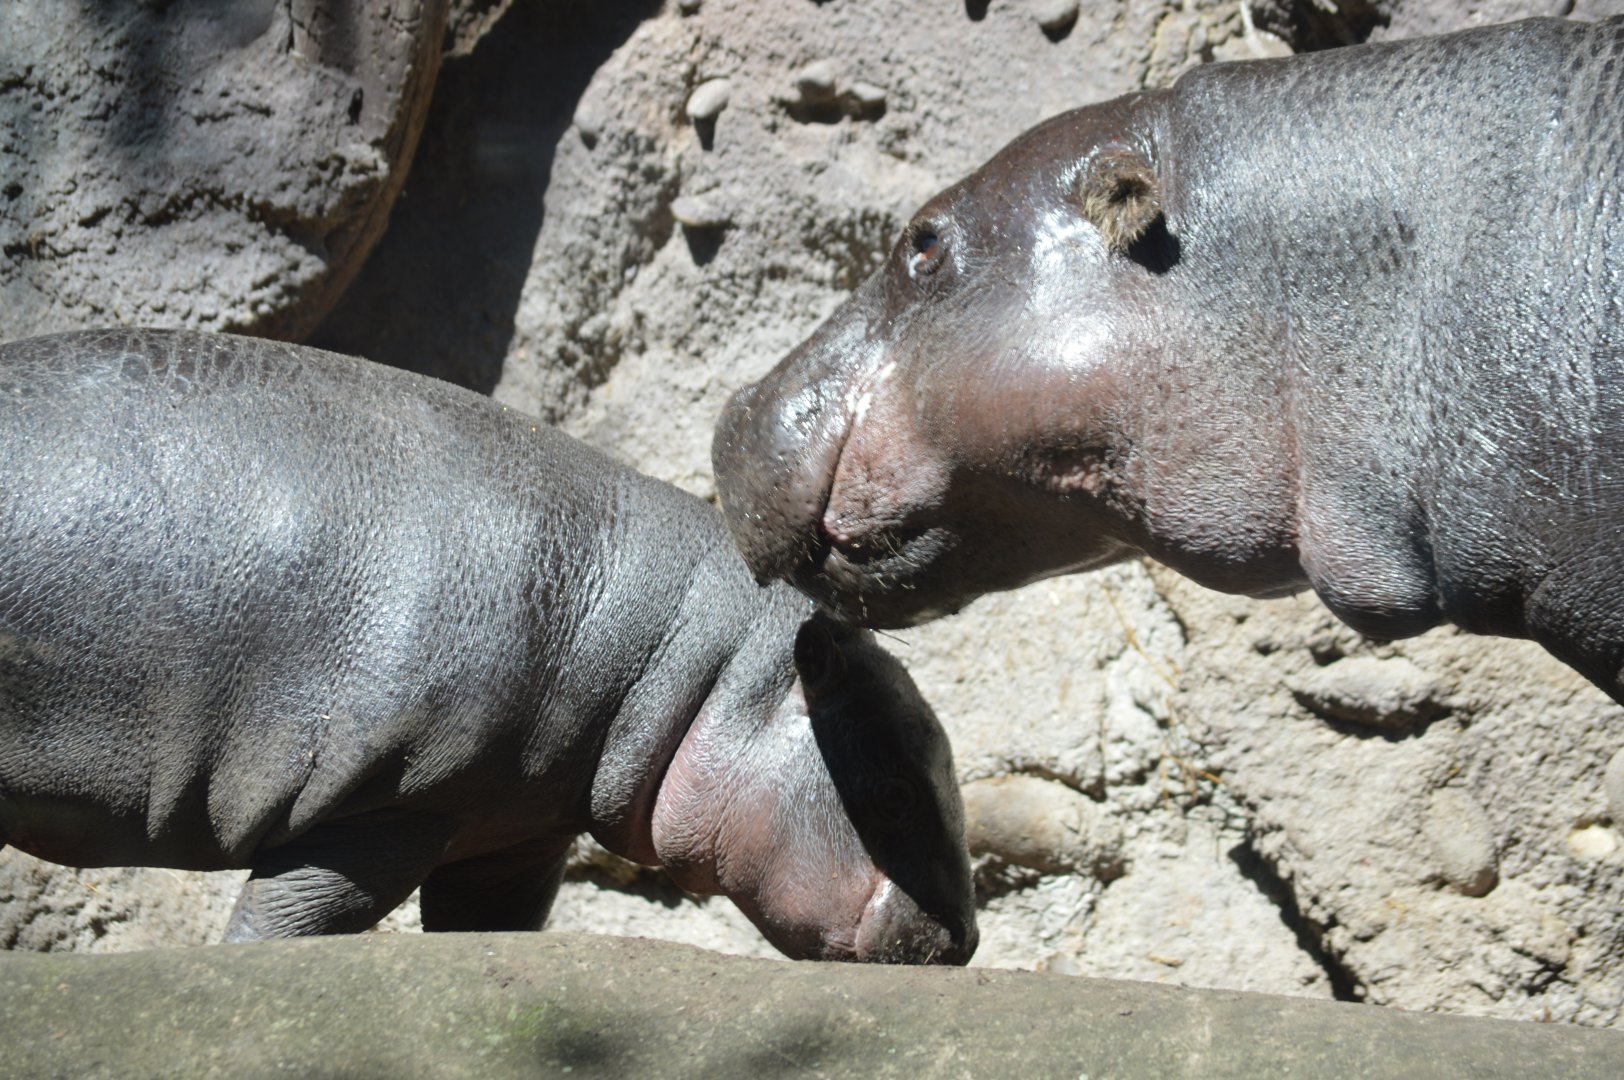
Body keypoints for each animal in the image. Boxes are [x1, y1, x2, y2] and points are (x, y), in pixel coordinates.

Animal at [0, 328, 976, 964]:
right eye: (891, 794)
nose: (967, 940)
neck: (688, 660)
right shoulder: (389, 802)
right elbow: (298, 917)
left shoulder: (513, 827)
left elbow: (489, 928)